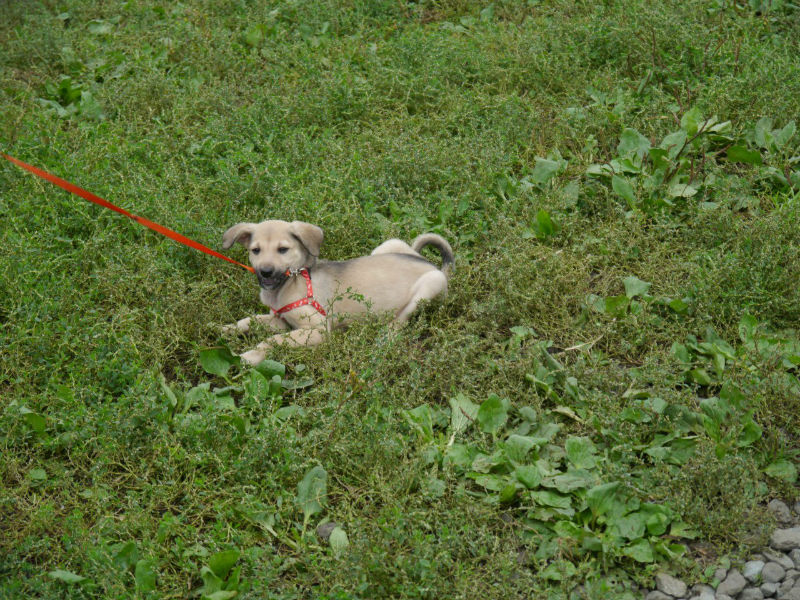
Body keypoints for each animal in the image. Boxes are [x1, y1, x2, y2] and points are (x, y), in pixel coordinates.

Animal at [222, 220, 454, 365]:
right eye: (255, 250)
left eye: (283, 249)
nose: (266, 272)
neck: (292, 282)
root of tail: (435, 266)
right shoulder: (281, 321)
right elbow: (250, 320)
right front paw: (228, 328)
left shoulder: (318, 330)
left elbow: (273, 340)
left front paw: (252, 355)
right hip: (390, 244)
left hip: (432, 284)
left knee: (401, 321)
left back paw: (382, 335)